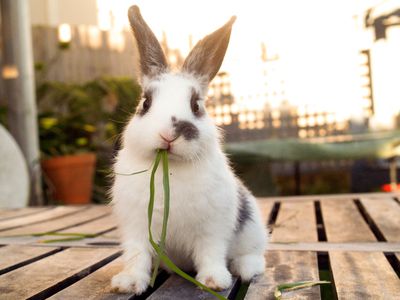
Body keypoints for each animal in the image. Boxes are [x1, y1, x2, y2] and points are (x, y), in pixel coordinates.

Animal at [111, 5, 268, 296]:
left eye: (196, 105)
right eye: (146, 103)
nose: (169, 134)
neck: (170, 168)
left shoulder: (212, 228)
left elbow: (210, 253)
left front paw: (214, 281)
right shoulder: (136, 228)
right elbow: (137, 256)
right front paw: (127, 283)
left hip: (252, 230)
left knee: (254, 256)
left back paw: (244, 268)